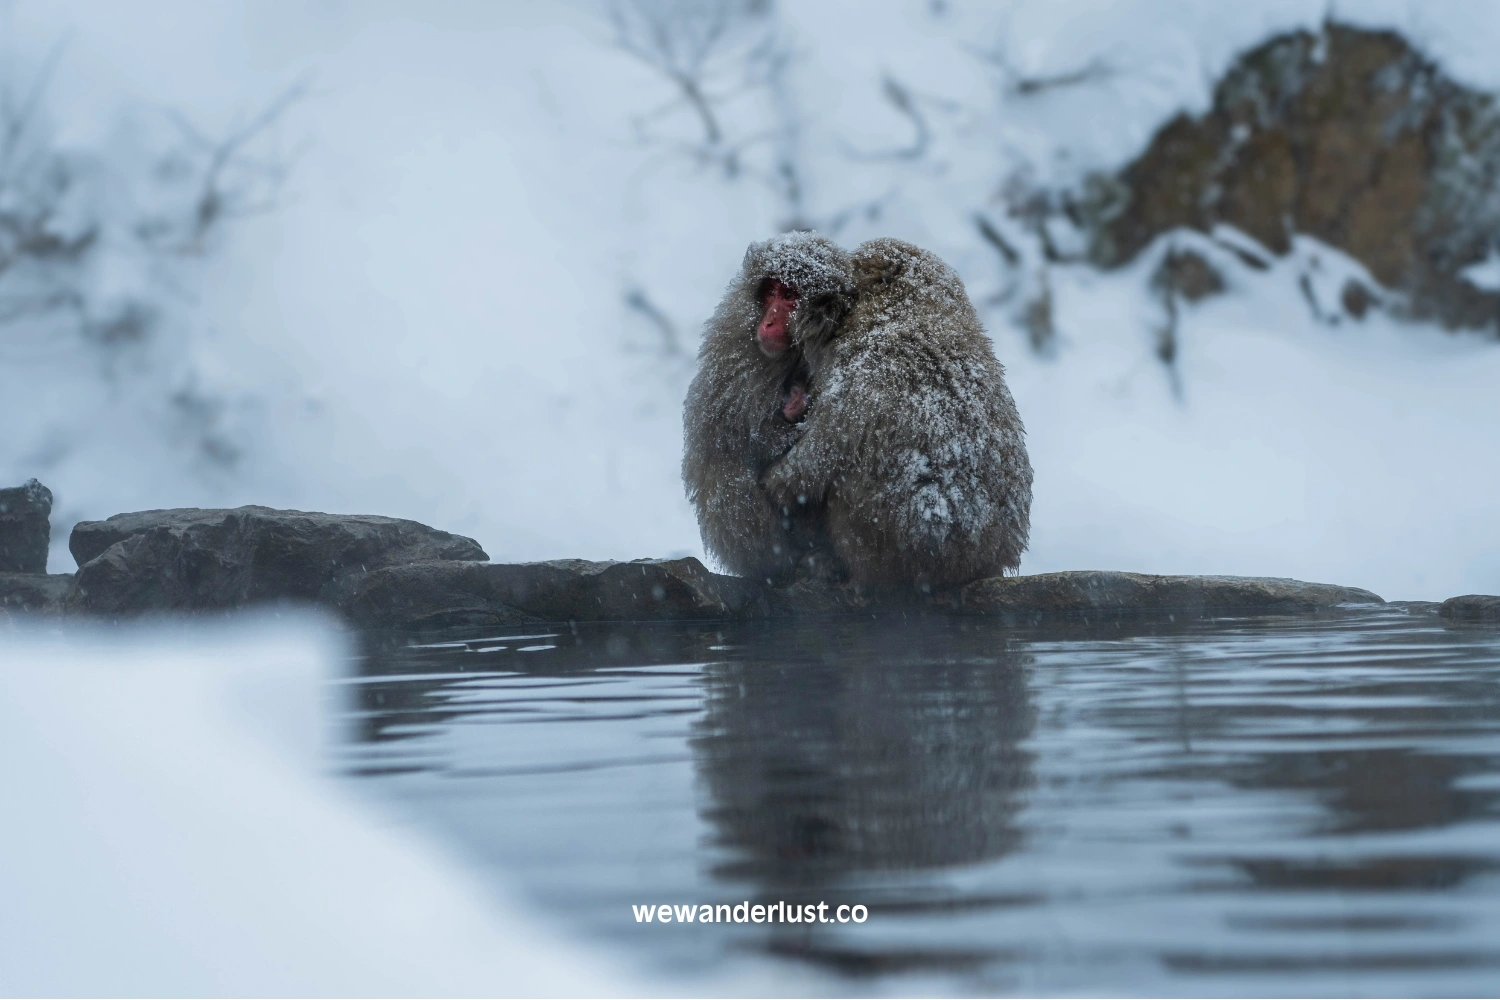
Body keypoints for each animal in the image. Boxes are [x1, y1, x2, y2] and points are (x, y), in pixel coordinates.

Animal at [684, 229, 858, 581]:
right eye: (771, 292)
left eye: (790, 296)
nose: (767, 324)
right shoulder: (735, 347)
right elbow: (727, 431)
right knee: (724, 465)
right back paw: (780, 567)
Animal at [762, 238, 1032, 590]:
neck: (906, 310)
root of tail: (979, 561)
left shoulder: (859, 365)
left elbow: (822, 453)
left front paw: (774, 482)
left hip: (884, 538)